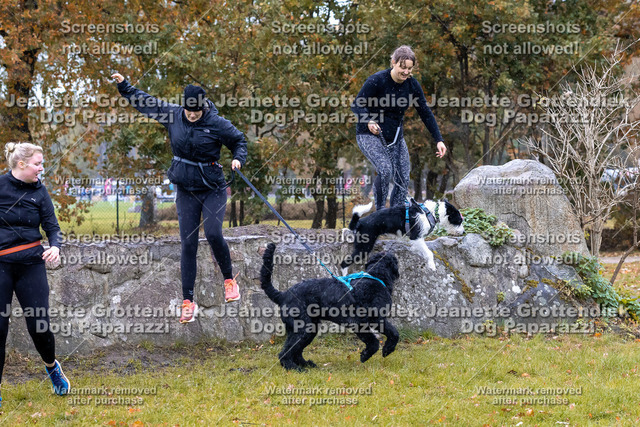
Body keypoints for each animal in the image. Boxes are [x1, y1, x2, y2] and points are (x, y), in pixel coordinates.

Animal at [260, 243, 400, 371]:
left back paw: (306, 364)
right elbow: (377, 340)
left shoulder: (375, 320)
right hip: (302, 328)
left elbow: (392, 333)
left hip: (309, 330)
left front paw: (385, 349)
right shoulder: (363, 322)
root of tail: (282, 295)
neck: (376, 277)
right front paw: (368, 354)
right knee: (285, 352)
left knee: (296, 351)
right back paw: (294, 368)